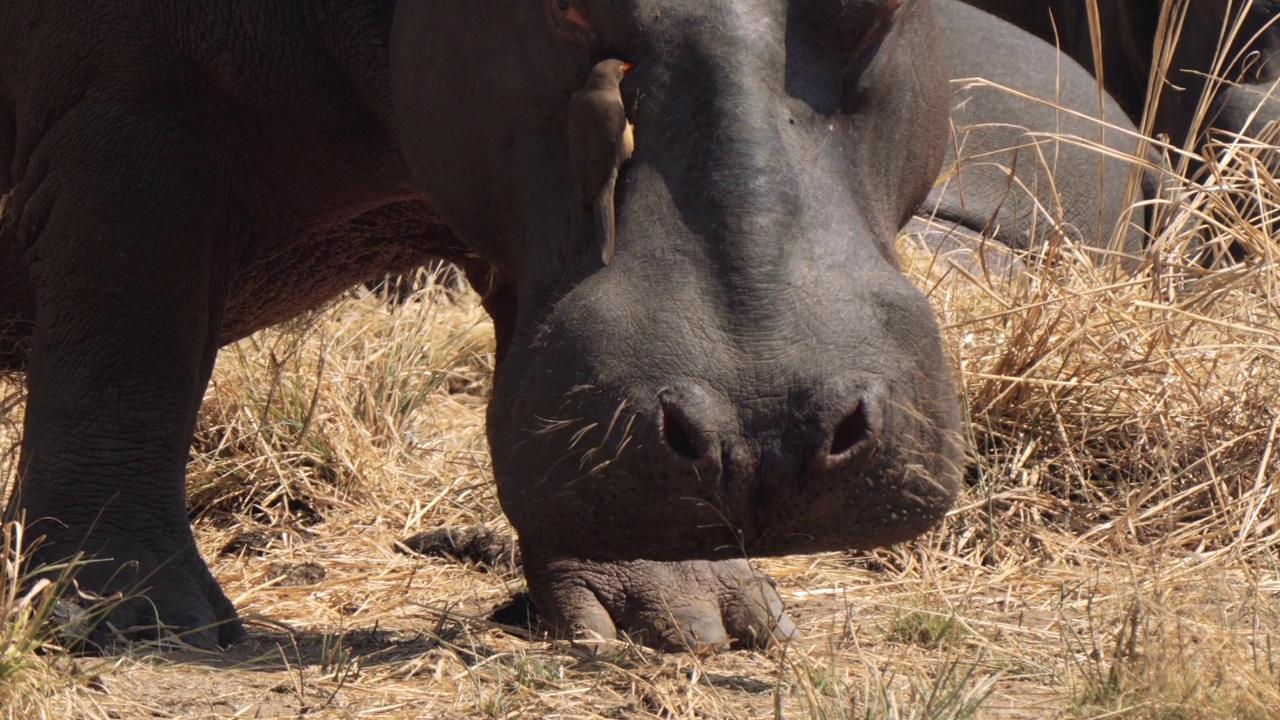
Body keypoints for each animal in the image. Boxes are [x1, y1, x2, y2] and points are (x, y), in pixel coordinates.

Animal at [0, 1, 962, 650]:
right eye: (562, 5)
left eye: (881, 4)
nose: (765, 435)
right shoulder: (130, 124)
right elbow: (126, 351)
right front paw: (129, 618)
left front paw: (685, 620)